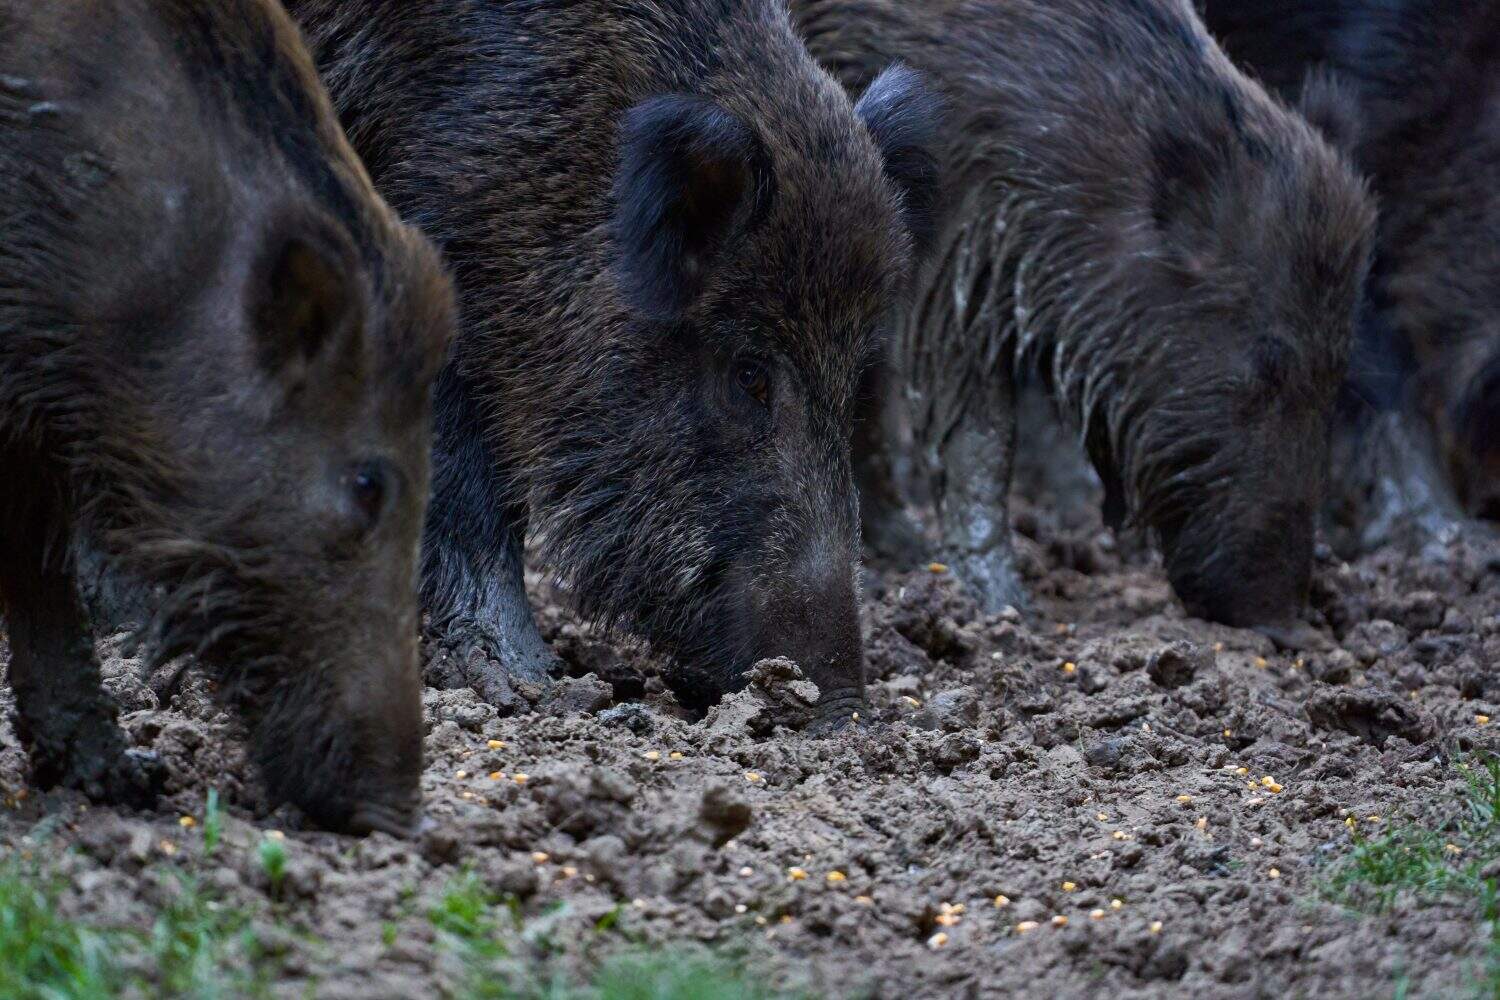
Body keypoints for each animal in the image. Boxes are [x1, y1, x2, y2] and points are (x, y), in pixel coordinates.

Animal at [792, 0, 1376, 642]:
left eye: (1339, 368)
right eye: (1270, 363)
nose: (1286, 622)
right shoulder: (957, 251)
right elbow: (980, 431)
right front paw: (1004, 609)